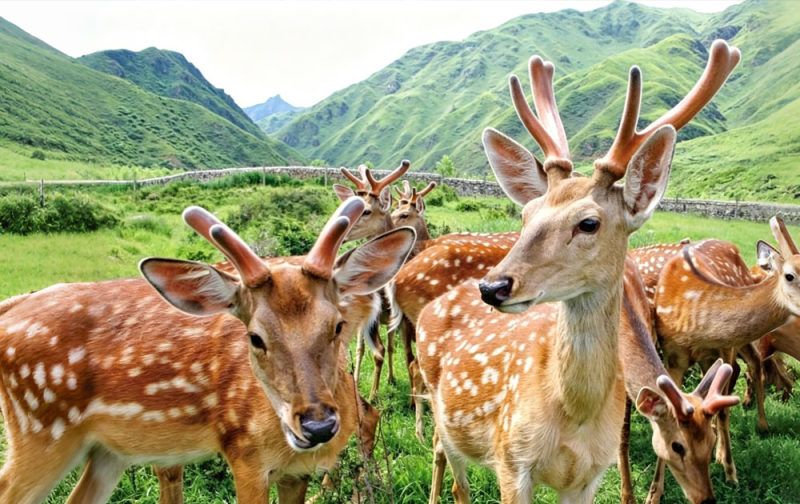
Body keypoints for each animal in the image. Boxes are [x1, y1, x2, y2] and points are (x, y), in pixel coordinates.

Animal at [0, 197, 415, 504]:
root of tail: (8, 309)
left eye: (337, 326)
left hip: (105, 451)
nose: (318, 425)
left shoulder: (296, 471)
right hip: (40, 430)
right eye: (255, 337)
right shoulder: (243, 452)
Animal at [415, 39, 739, 503]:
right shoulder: (511, 460)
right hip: (443, 412)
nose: (493, 286)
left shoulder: (589, 475)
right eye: (526, 213)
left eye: (588, 222)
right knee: (453, 473)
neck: (575, 415)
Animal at [652, 215, 800, 483]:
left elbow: (722, 406)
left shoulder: (726, 347)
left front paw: (730, 471)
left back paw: (760, 425)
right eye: (789, 276)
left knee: (753, 363)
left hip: (738, 342)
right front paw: (656, 487)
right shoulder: (673, 356)